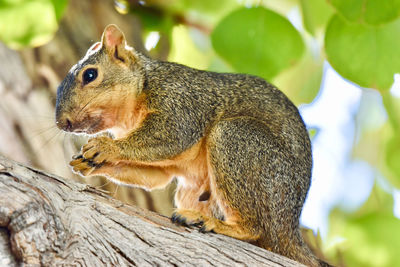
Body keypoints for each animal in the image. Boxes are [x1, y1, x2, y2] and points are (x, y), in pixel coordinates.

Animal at [54, 24, 330, 266]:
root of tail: (289, 227)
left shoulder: (180, 103)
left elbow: (172, 135)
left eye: (90, 74)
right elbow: (155, 177)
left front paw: (106, 147)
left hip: (238, 142)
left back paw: (213, 223)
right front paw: (89, 163)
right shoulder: (164, 167)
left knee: (256, 229)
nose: (62, 122)